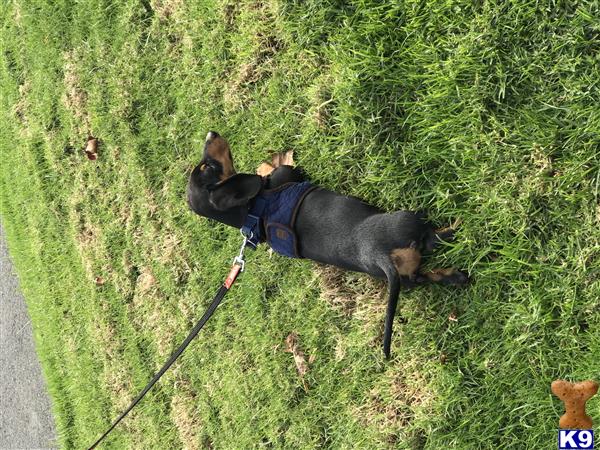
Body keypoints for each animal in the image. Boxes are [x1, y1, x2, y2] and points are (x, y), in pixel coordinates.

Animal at [188, 131, 468, 358]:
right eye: (206, 167)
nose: (211, 133)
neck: (254, 209)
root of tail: (380, 256)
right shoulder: (286, 176)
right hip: (409, 219)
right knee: (431, 240)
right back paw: (456, 229)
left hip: (408, 275)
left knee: (426, 274)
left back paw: (455, 275)